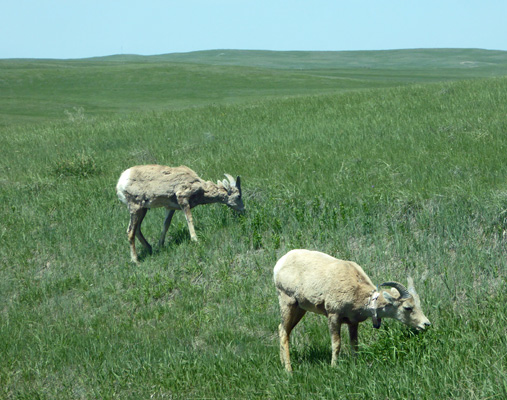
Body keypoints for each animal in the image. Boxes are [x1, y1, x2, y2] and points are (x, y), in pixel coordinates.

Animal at [276, 250, 430, 372]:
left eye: (419, 304)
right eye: (408, 307)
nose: (426, 324)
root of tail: (280, 263)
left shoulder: (353, 323)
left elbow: (354, 345)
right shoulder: (333, 316)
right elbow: (336, 344)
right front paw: (334, 367)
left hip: (300, 309)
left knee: (283, 329)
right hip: (288, 302)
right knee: (283, 332)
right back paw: (289, 370)